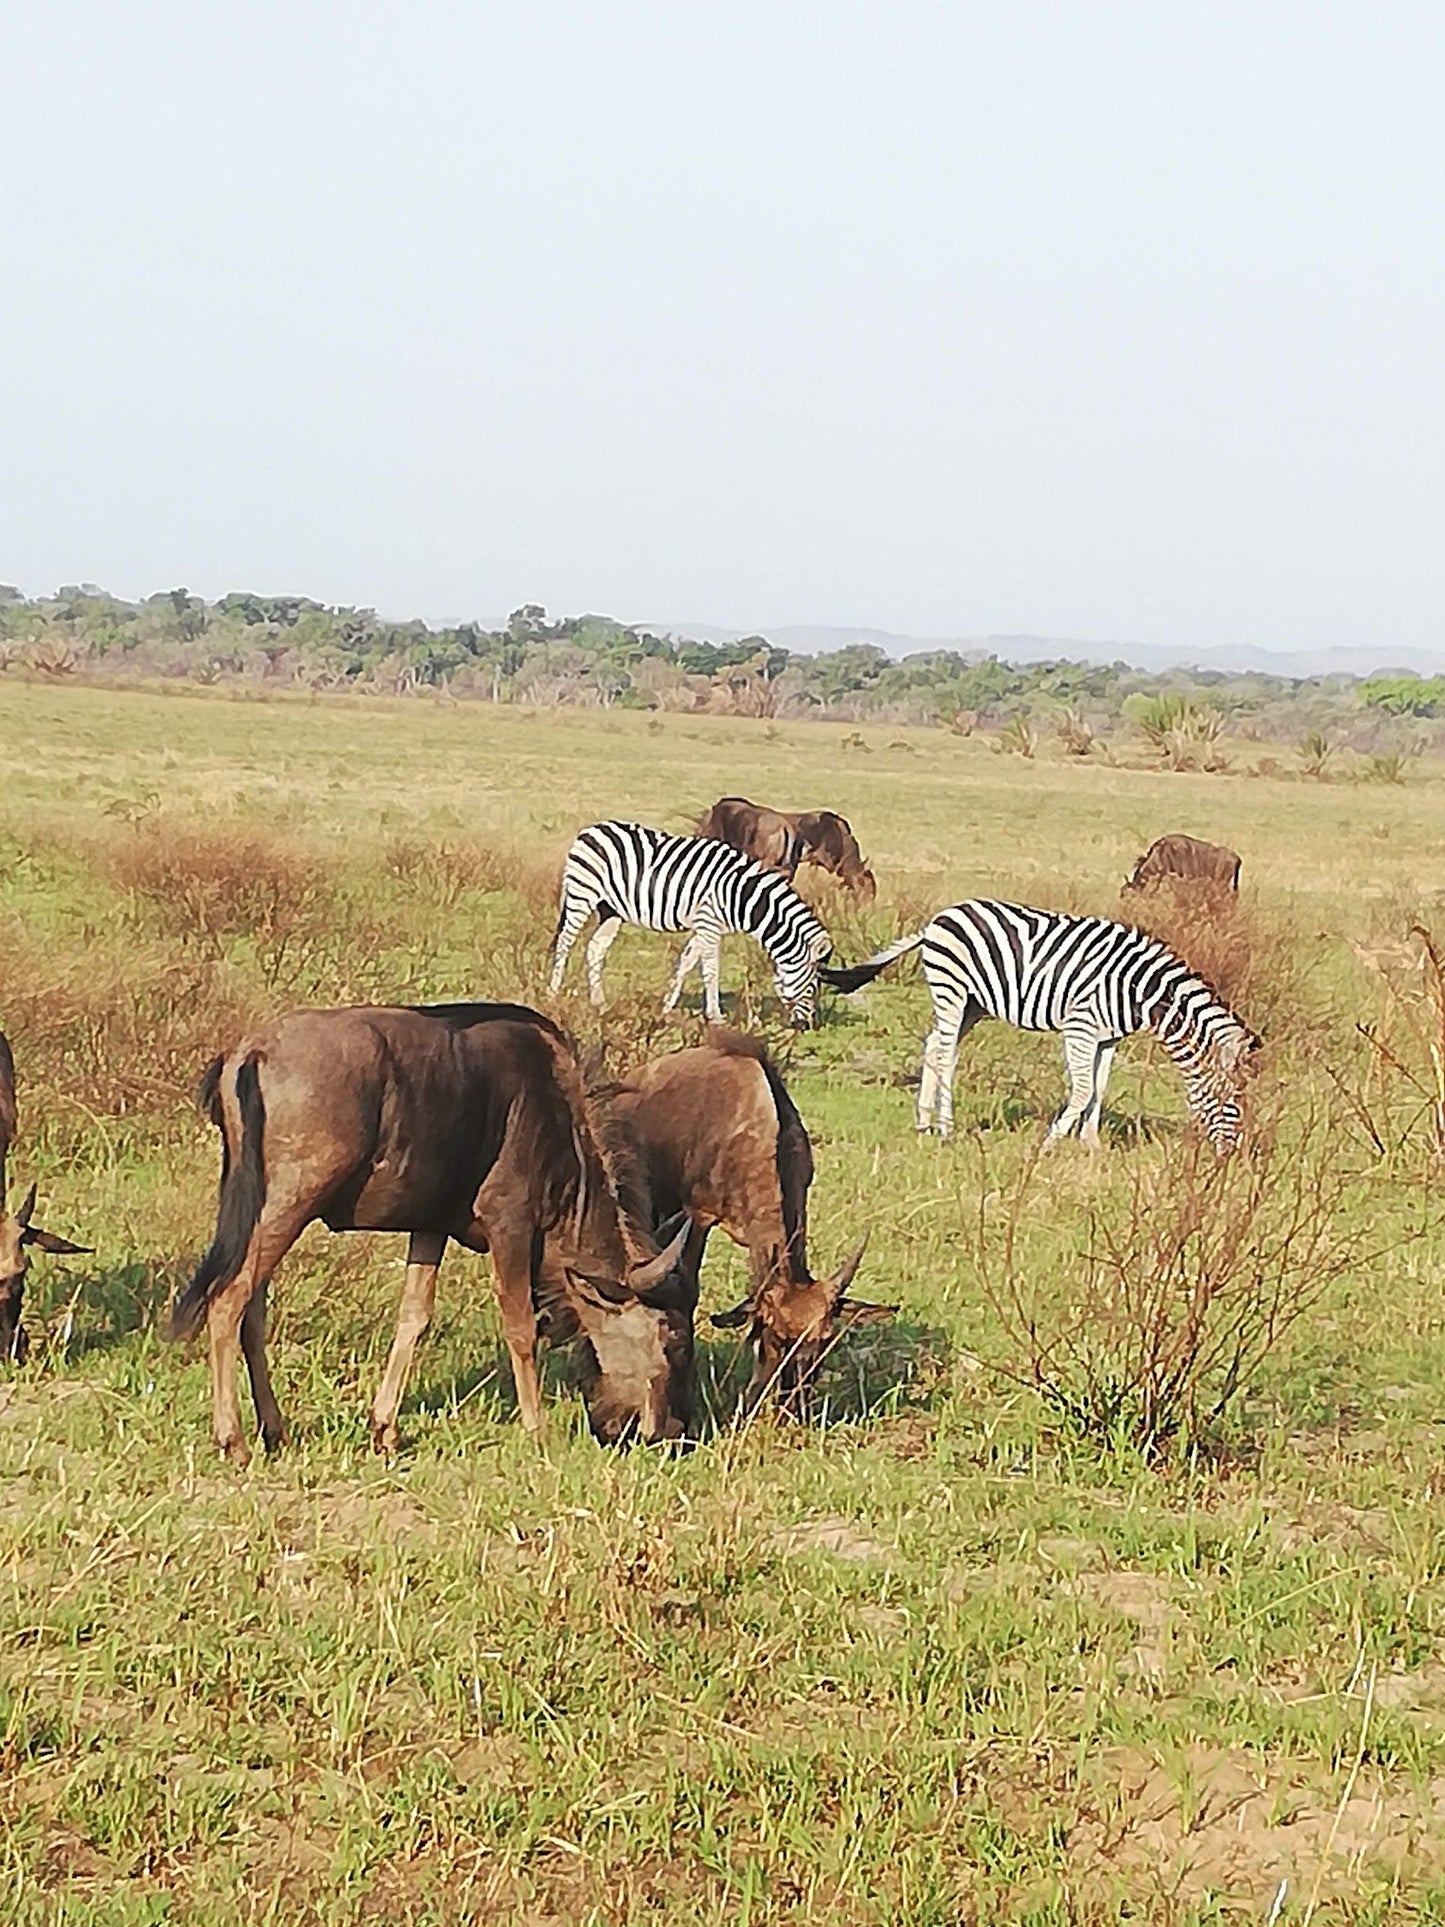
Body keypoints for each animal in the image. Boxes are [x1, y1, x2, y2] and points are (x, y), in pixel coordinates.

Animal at [547, 820, 832, 1032]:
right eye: (813, 986)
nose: (808, 1027)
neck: (741, 894)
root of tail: (591, 829)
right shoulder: (709, 924)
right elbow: (711, 970)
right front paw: (715, 1016)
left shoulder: (703, 926)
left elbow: (685, 964)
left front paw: (666, 1008)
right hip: (582, 894)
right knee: (564, 943)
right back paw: (553, 994)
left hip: (611, 909)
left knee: (596, 948)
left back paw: (600, 1004)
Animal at [820, 897, 1263, 1148]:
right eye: (1232, 1102)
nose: (1231, 1155)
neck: (1138, 989)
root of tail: (939, 918)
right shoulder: (1080, 1027)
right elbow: (1083, 1091)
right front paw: (1051, 1143)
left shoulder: (1109, 1038)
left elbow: (1100, 1089)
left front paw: (1090, 1146)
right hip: (952, 987)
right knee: (945, 1054)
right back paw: (946, 1127)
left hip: (973, 1004)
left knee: (935, 1044)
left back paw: (924, 1122)